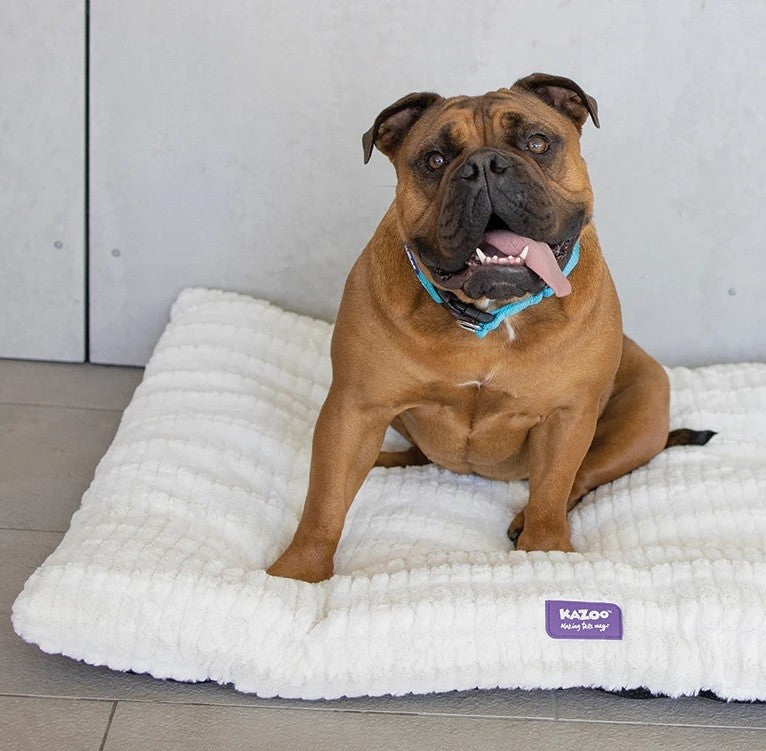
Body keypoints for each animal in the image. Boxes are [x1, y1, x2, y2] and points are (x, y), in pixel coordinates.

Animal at [268, 72, 716, 588]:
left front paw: (546, 551)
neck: (491, 315)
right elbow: (324, 503)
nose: (483, 166)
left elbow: (552, 490)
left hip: (639, 416)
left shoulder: (567, 417)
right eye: (435, 160)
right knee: (417, 455)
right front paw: (296, 574)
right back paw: (384, 460)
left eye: (538, 142)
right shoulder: (355, 407)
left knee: (580, 479)